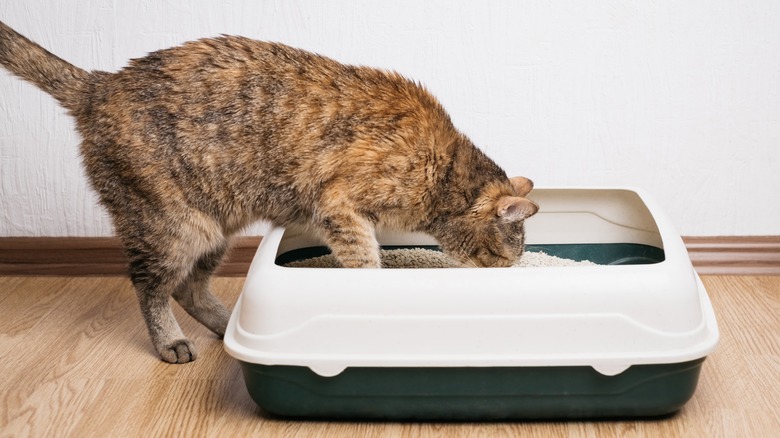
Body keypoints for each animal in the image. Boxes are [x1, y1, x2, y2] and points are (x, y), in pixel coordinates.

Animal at [0, 19, 536, 362]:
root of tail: (100, 85)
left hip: (216, 229)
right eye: (503, 258)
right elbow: (365, 260)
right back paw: (170, 341)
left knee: (190, 289)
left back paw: (226, 325)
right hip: (175, 226)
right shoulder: (340, 206)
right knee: (151, 288)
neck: (441, 171)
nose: (506, 278)